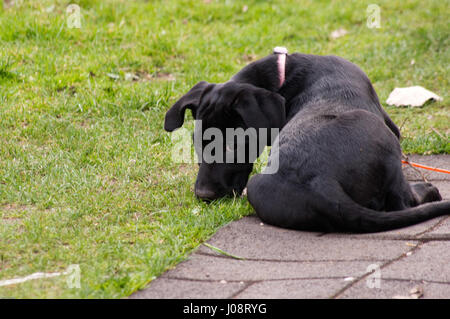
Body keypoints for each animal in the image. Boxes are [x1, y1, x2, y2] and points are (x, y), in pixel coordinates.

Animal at [165, 51, 450, 234]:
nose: (203, 195)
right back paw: (427, 191)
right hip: (383, 138)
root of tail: (321, 184)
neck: (282, 76)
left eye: (232, 145)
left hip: (257, 185)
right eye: (197, 144)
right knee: (403, 200)